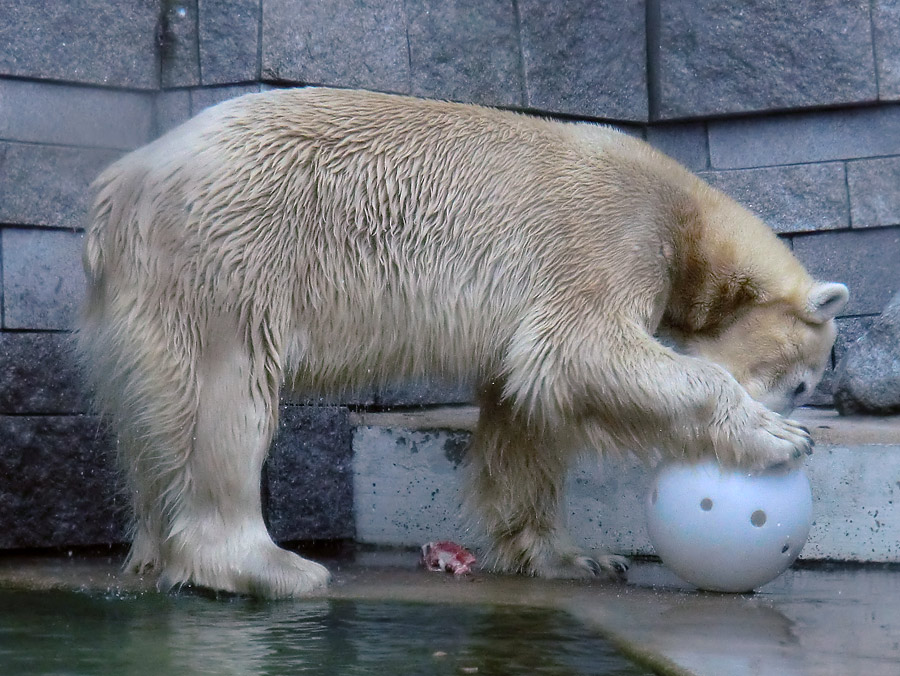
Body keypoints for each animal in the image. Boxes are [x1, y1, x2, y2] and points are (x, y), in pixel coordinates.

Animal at [79, 86, 852, 596]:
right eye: (802, 384)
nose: (799, 415)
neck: (685, 218)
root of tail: (120, 187)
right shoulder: (606, 236)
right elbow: (579, 349)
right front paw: (775, 438)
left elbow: (524, 406)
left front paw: (576, 558)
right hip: (232, 255)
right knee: (228, 394)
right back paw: (269, 566)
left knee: (154, 417)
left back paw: (152, 551)